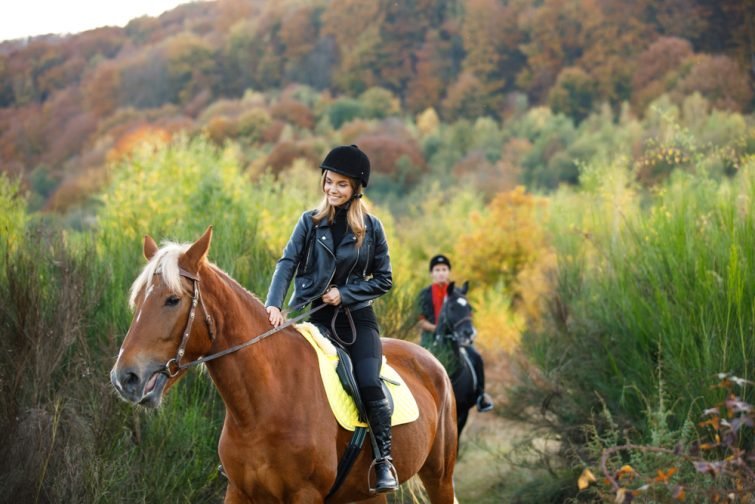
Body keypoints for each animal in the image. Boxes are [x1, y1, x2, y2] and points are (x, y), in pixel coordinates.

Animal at [108, 228, 458, 504]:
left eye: (172, 300)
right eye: (137, 301)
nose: (126, 377)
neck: (263, 406)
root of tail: (432, 363)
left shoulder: (305, 495)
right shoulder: (239, 492)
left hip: (440, 478)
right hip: (366, 495)